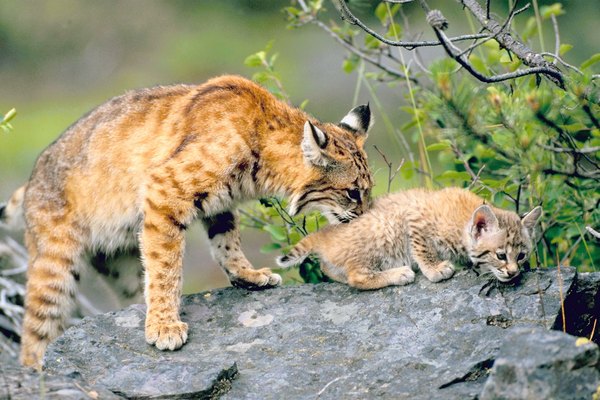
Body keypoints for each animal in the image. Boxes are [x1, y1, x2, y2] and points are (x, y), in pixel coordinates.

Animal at [10, 75, 376, 368]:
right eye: (353, 193)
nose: (367, 218)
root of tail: (32, 178)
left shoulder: (220, 203)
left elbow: (226, 242)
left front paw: (247, 275)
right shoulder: (163, 191)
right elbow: (166, 268)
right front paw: (164, 327)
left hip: (121, 264)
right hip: (56, 263)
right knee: (36, 330)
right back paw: (35, 372)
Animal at [278, 187, 540, 288]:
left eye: (522, 256)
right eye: (501, 255)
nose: (513, 273)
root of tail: (327, 233)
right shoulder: (413, 215)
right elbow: (422, 247)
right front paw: (435, 269)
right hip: (383, 227)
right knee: (356, 277)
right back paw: (399, 273)